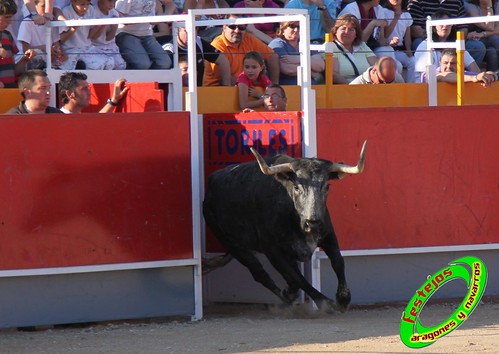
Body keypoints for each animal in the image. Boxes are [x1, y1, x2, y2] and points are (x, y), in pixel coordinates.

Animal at [201, 141, 370, 310]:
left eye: (327, 186)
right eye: (296, 187)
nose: (313, 223)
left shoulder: (328, 234)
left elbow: (338, 261)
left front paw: (343, 298)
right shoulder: (273, 251)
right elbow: (297, 277)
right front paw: (325, 303)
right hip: (233, 246)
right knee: (260, 273)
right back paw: (286, 297)